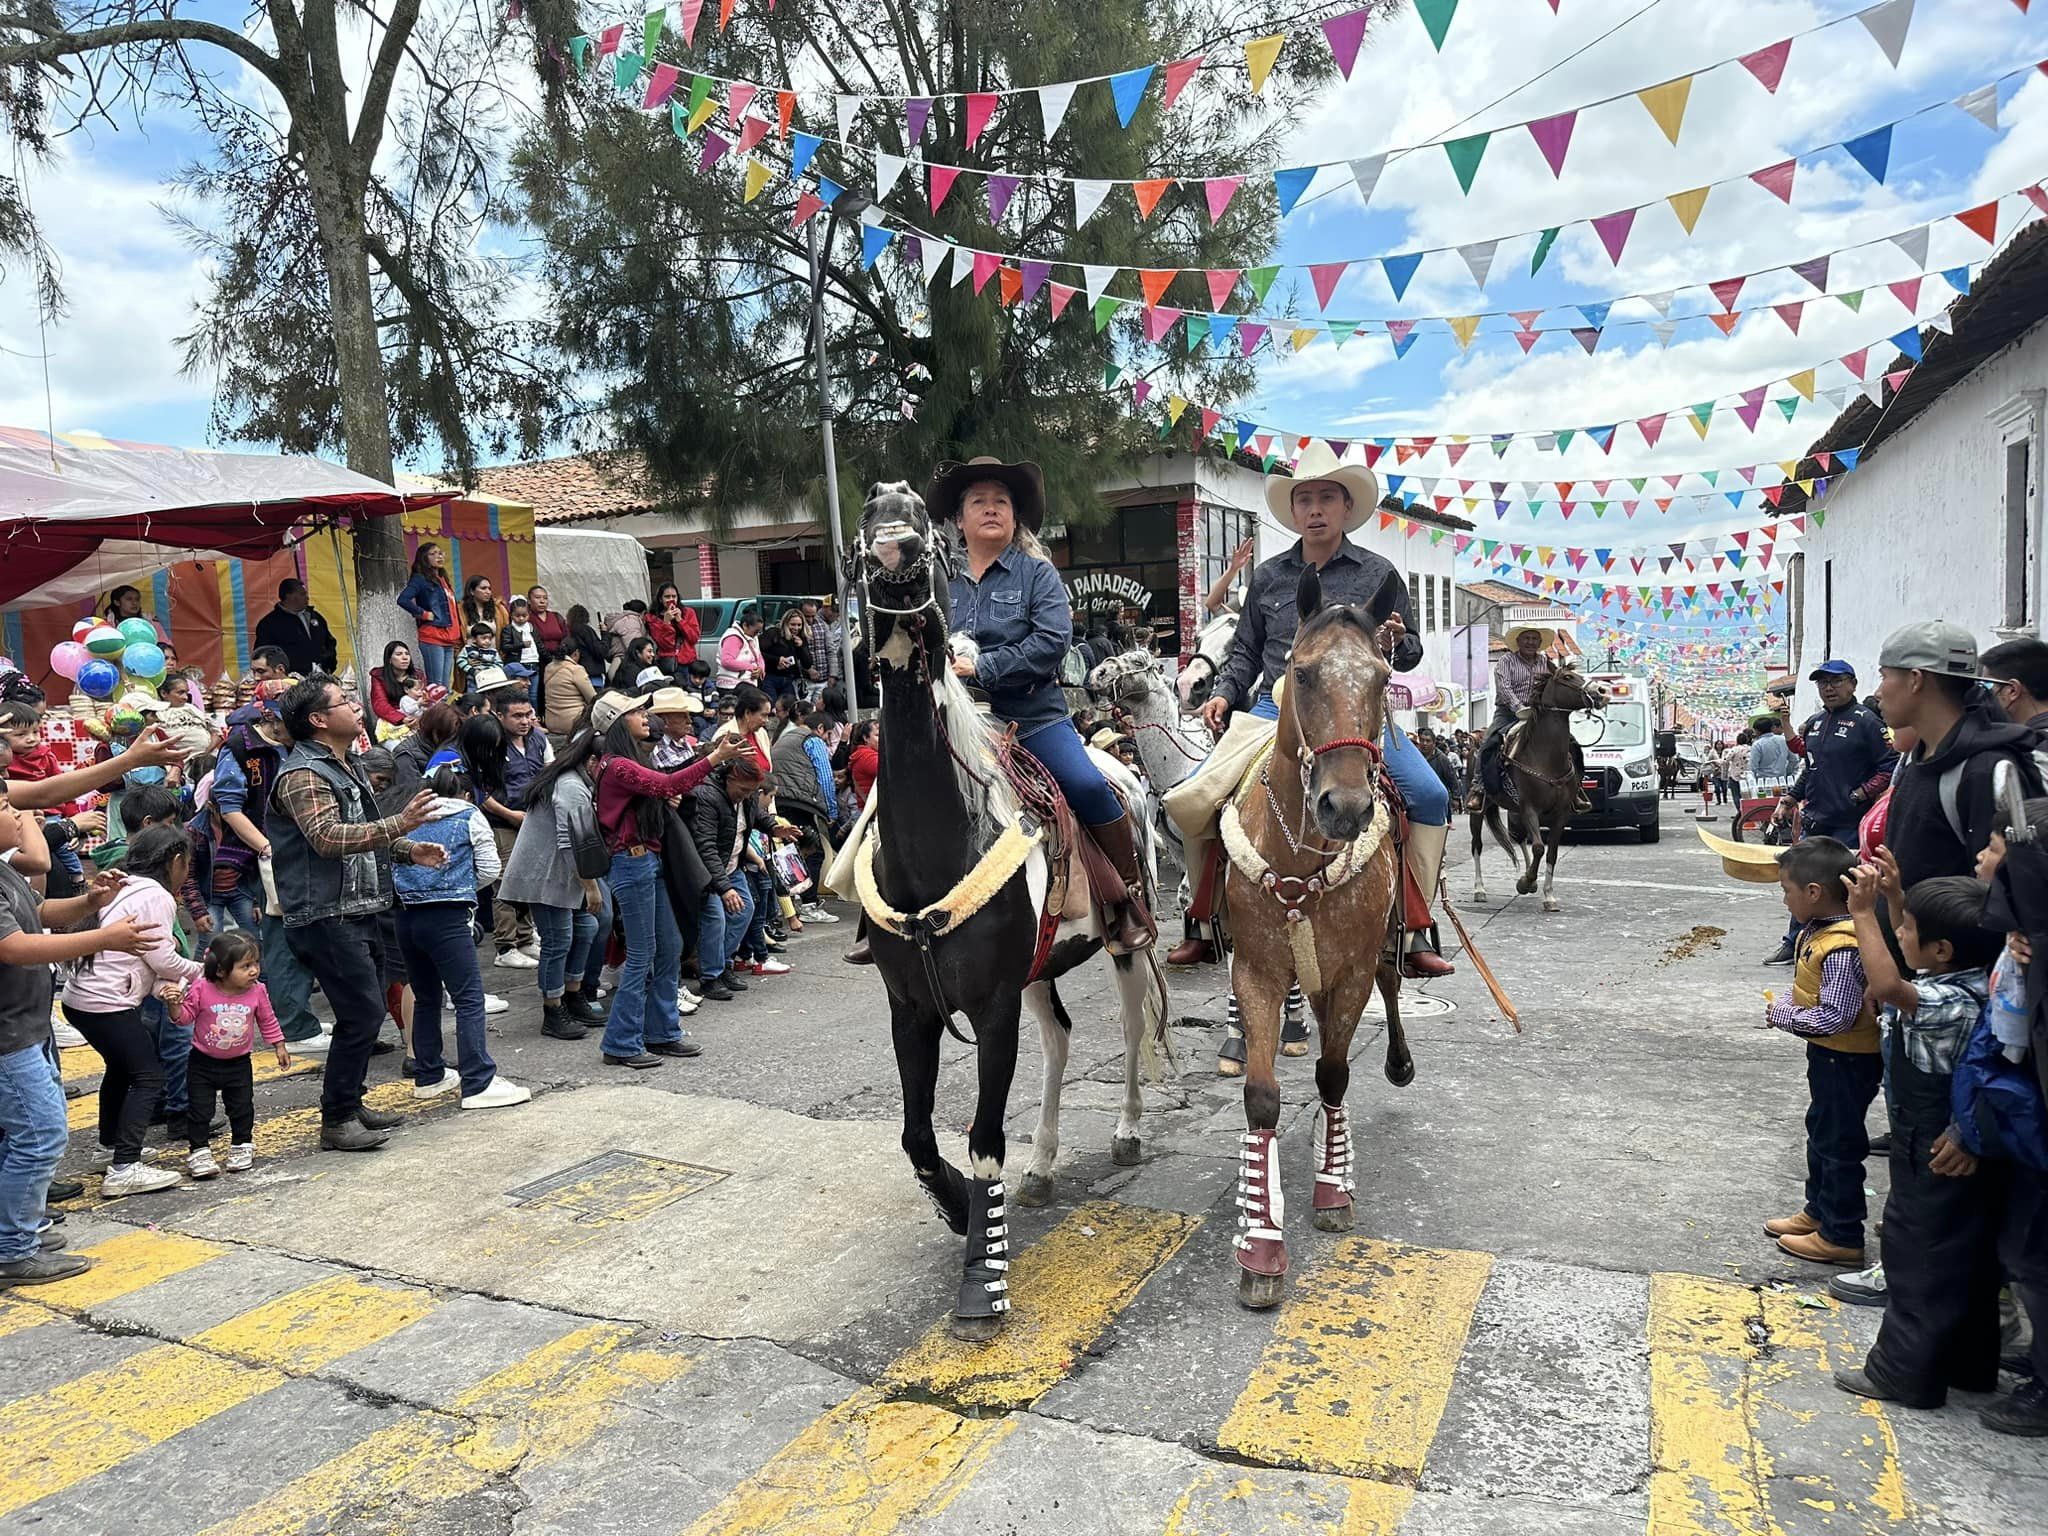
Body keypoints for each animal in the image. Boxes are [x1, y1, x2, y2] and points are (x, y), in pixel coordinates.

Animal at [847, 487, 1171, 1343]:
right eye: (866, 518)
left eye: (924, 527)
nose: (894, 556)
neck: (937, 844)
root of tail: (1120, 764)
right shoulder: (912, 1008)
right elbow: (918, 1135)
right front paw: (960, 1207)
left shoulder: (990, 1007)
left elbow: (985, 1136)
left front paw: (980, 1281)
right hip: (1038, 972)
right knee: (1058, 1044)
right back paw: (1045, 1164)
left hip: (1125, 947)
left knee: (1128, 1032)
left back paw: (1126, 1132)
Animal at [1212, 565, 1409, 1310]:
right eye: (1301, 672)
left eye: (1382, 676)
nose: (1346, 807)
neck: (1298, 858)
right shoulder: (1258, 973)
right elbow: (1263, 1097)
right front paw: (1261, 1245)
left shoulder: (1350, 972)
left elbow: (1333, 1073)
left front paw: (1332, 1188)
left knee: (1387, 993)